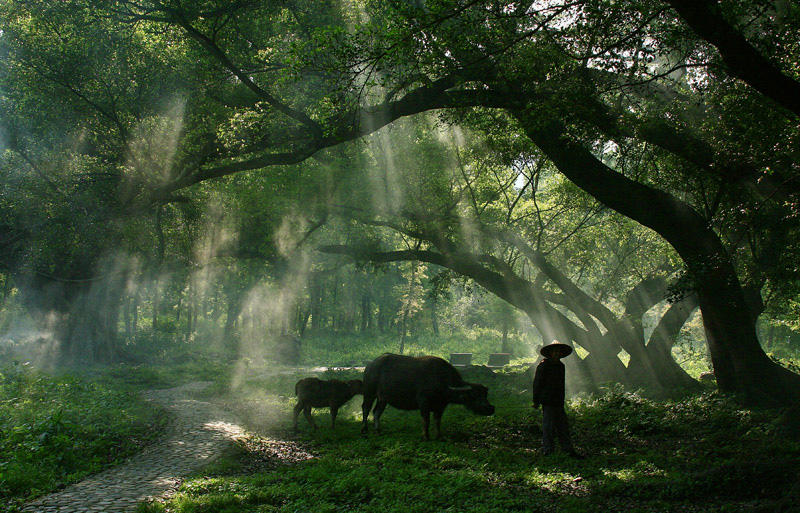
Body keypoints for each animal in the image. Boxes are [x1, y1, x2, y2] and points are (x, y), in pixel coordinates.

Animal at [362, 352, 494, 440]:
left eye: (485, 394)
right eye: (474, 395)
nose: (490, 409)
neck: (442, 381)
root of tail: (370, 365)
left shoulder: (441, 406)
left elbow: (437, 420)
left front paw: (439, 435)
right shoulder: (423, 402)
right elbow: (426, 419)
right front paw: (426, 436)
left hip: (383, 399)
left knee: (377, 412)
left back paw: (378, 430)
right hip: (369, 392)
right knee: (366, 408)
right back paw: (364, 429)